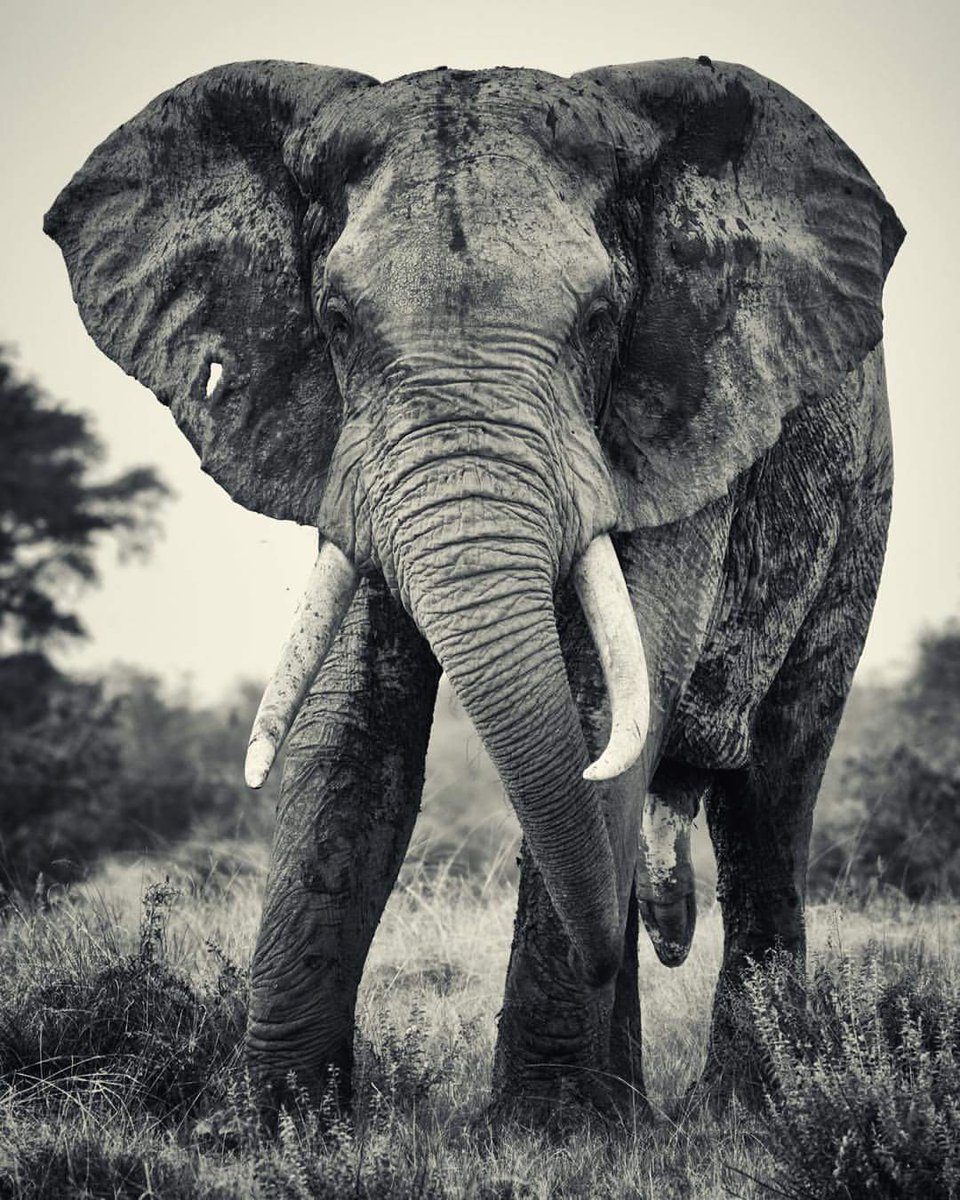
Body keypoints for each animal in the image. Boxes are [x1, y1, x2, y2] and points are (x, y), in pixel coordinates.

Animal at [45, 56, 903, 1124]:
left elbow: (607, 704)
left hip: (859, 506)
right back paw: (636, 1107)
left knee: (775, 792)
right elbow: (351, 725)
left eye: (600, 322)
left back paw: (746, 1108)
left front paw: (544, 1131)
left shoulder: (684, 409)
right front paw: (283, 1126)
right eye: (335, 322)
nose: (651, 930)